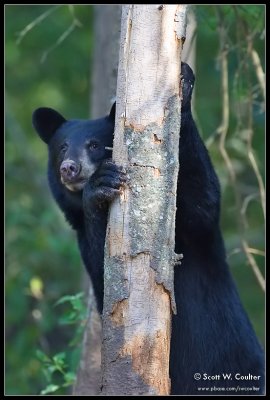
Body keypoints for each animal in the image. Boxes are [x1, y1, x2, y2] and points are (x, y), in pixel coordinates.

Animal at [33, 62, 264, 394]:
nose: (69, 168)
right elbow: (105, 275)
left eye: (94, 145)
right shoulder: (81, 236)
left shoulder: (194, 230)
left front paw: (183, 85)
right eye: (62, 148)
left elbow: (202, 199)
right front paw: (99, 186)